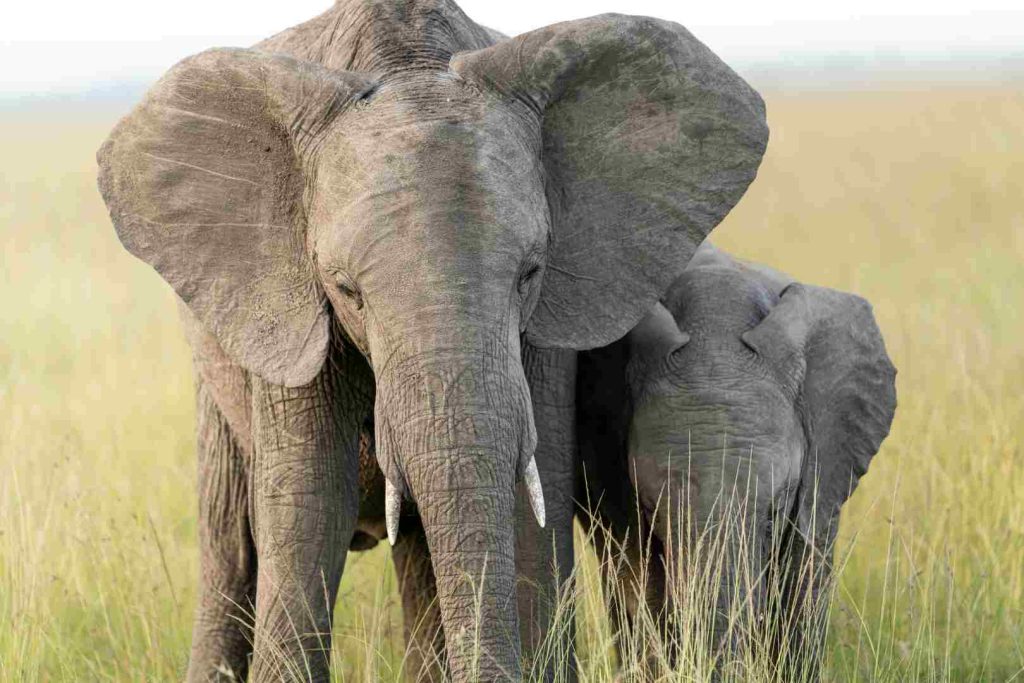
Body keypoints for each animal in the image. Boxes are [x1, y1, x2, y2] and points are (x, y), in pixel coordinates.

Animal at [95, 1, 769, 680]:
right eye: (346, 290)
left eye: (531, 272)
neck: (405, 63)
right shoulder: (288, 303)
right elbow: (309, 509)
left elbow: (533, 501)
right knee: (231, 546)